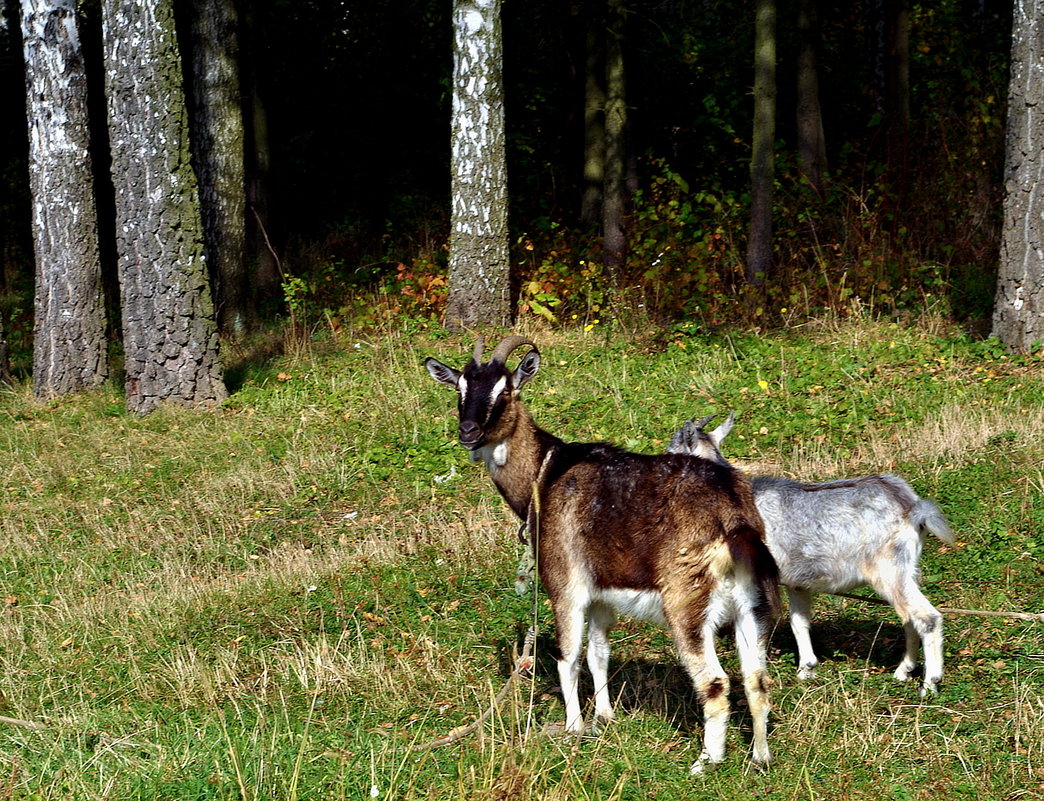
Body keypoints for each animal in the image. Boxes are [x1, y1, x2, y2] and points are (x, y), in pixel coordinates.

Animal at [421, 336, 776, 768]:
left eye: (504, 391)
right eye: (459, 389)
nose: (469, 431)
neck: (546, 474)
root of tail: (732, 517)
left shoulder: (566, 585)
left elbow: (569, 658)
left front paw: (574, 728)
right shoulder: (603, 594)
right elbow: (599, 653)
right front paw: (604, 717)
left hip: (687, 602)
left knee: (714, 681)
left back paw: (705, 761)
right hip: (750, 602)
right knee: (756, 678)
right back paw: (760, 757)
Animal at [668, 413, 956, 693]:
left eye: (671, 454)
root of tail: (913, 507)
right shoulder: (797, 581)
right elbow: (799, 622)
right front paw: (807, 670)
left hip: (889, 570)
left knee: (927, 618)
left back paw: (930, 683)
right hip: (906, 572)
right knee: (908, 618)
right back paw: (903, 672)